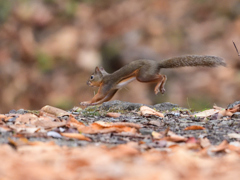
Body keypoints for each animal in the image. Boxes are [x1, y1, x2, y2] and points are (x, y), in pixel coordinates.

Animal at [79, 54, 226, 105]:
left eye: (91, 76)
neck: (105, 77)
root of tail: (157, 64)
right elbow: (105, 99)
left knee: (162, 76)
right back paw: (161, 88)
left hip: (142, 76)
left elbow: (99, 96)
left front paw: (86, 102)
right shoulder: (114, 89)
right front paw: (94, 104)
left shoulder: (106, 86)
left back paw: (157, 87)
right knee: (163, 76)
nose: (87, 82)